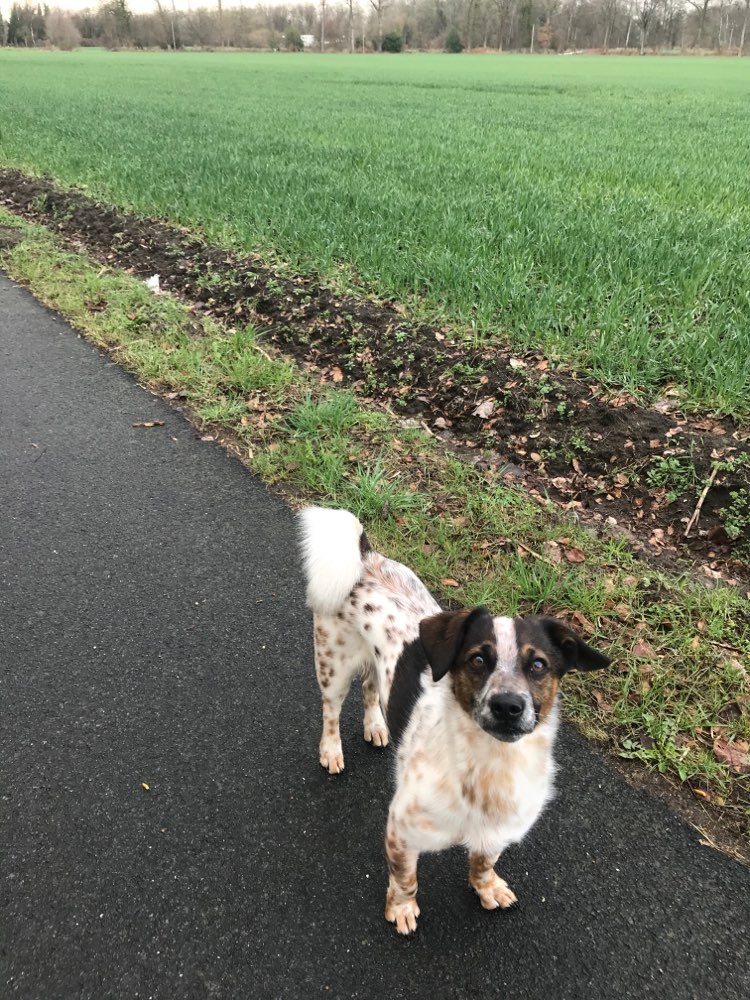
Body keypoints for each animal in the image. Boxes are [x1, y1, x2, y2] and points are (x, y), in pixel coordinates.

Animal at [298, 508, 612, 936]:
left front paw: (486, 887)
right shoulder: (400, 830)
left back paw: (376, 724)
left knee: (372, 684)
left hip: (375, 660)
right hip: (333, 664)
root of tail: (365, 557)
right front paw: (402, 909)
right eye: (477, 659)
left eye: (538, 665)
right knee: (331, 710)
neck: (490, 764)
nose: (508, 706)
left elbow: (484, 861)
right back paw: (331, 750)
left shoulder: (496, 831)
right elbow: (406, 879)